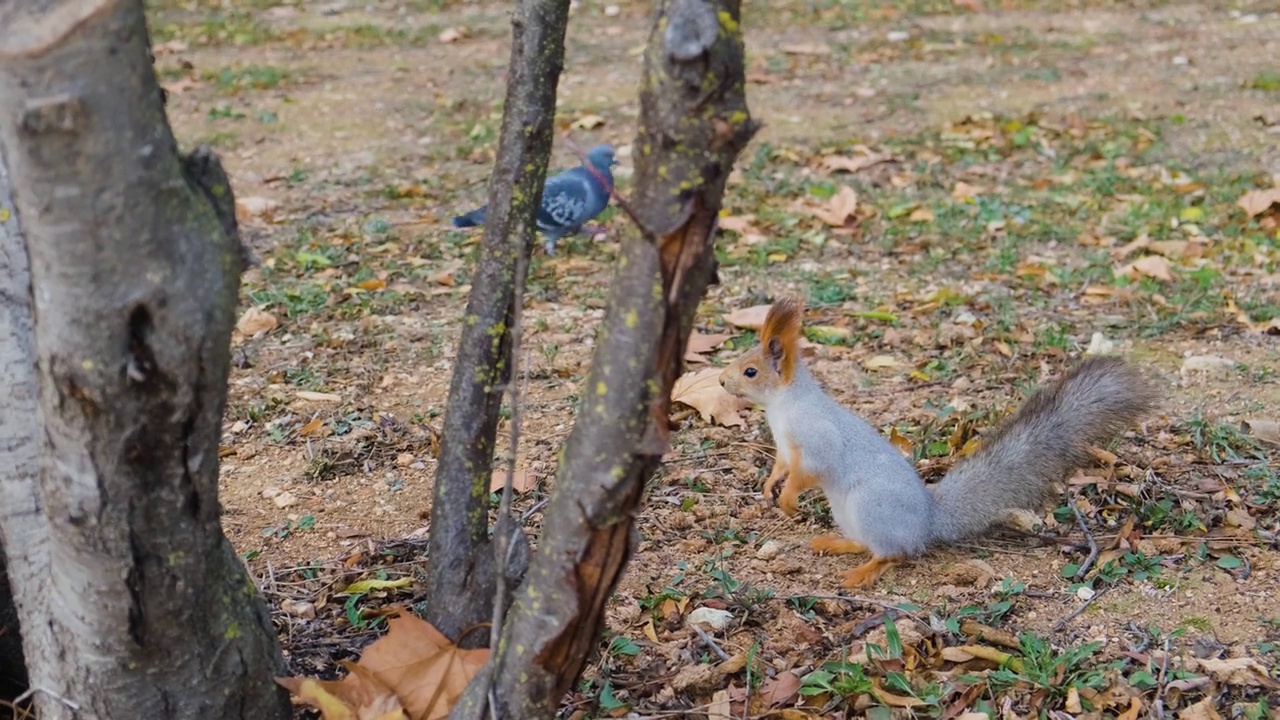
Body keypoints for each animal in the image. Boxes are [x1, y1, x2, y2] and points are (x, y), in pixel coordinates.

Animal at [721, 294, 1162, 586]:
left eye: (749, 371)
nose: (723, 381)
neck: (784, 406)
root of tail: (928, 522)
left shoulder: (817, 440)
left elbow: (807, 471)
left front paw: (787, 498)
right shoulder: (784, 446)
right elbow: (781, 466)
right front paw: (770, 486)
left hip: (871, 509)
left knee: (895, 553)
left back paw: (862, 573)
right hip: (850, 514)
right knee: (872, 545)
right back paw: (838, 545)